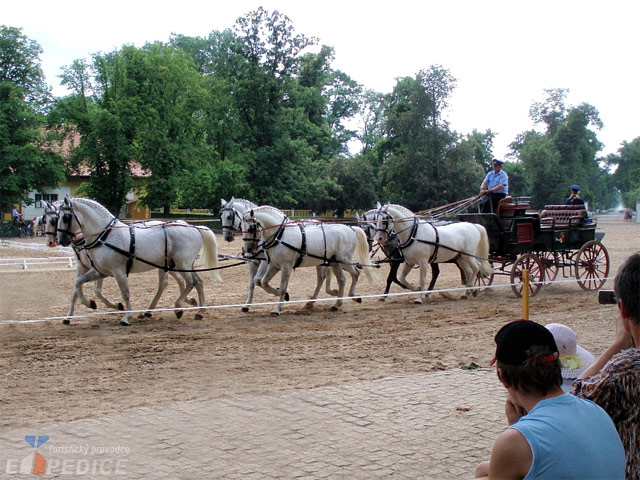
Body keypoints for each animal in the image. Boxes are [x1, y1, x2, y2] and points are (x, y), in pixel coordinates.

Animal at [41, 202, 196, 316]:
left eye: (58, 219)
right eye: (45, 220)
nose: (54, 242)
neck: (102, 236)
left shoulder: (106, 269)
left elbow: (99, 291)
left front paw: (116, 307)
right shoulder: (85, 266)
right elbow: (76, 287)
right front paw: (70, 315)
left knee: (179, 281)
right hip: (165, 264)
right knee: (175, 281)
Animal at [58, 196, 222, 326]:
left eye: (65, 217)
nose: (61, 240)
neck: (105, 236)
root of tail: (193, 227)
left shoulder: (118, 272)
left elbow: (125, 293)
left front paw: (126, 318)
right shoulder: (101, 271)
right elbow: (78, 283)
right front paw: (90, 304)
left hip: (182, 264)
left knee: (190, 282)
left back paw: (178, 307)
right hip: (182, 265)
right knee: (197, 282)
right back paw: (199, 311)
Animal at [242, 205, 378, 316]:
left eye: (250, 228)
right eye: (241, 227)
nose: (248, 249)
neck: (280, 235)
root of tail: (351, 228)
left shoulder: (286, 266)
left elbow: (283, 286)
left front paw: (278, 308)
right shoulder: (274, 265)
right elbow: (263, 282)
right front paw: (283, 295)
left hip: (344, 260)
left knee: (355, 273)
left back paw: (353, 297)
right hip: (334, 262)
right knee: (341, 279)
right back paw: (336, 304)